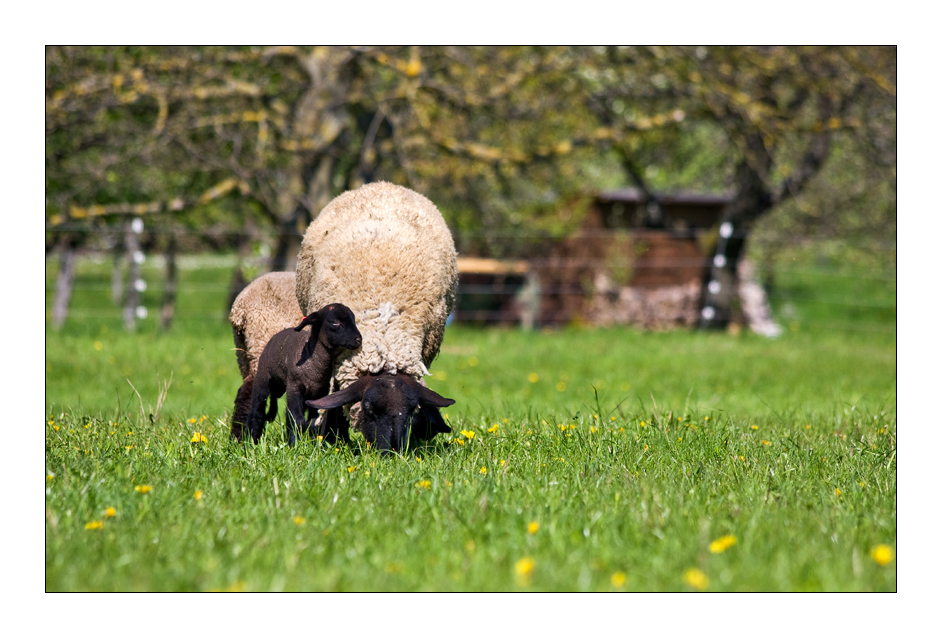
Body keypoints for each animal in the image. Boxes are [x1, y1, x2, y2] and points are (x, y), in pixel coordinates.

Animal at [243, 304, 362, 444]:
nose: (359, 340)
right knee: (257, 412)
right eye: (335, 322)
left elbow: (315, 420)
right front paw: (294, 444)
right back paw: (250, 442)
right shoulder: (294, 387)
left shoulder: (320, 393)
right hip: (262, 379)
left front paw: (315, 442)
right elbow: (296, 418)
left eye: (353, 320)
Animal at [296, 181, 458, 456]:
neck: (384, 331)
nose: (391, 452)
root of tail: (383, 185)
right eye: (369, 409)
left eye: (412, 411)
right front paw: (333, 438)